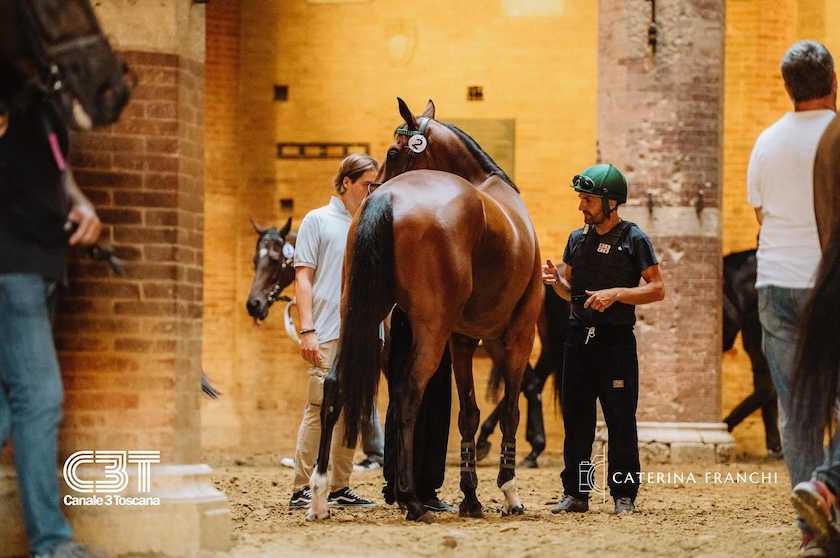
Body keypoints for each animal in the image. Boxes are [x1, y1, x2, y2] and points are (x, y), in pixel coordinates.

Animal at [306, 98, 543, 523]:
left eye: (393, 152)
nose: (374, 185)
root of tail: (389, 199)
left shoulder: (463, 339)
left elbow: (469, 414)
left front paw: (471, 498)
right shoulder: (517, 333)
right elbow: (510, 410)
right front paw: (509, 493)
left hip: (359, 316)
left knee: (334, 384)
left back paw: (319, 494)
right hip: (433, 333)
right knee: (408, 394)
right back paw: (412, 501)